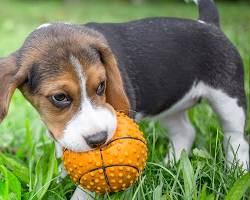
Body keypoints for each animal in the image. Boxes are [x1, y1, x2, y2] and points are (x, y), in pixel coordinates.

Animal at [0, 0, 249, 198]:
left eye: (102, 85)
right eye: (59, 97)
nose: (99, 139)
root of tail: (207, 23)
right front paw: (59, 180)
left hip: (228, 99)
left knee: (235, 138)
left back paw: (237, 169)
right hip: (169, 105)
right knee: (185, 132)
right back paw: (170, 165)